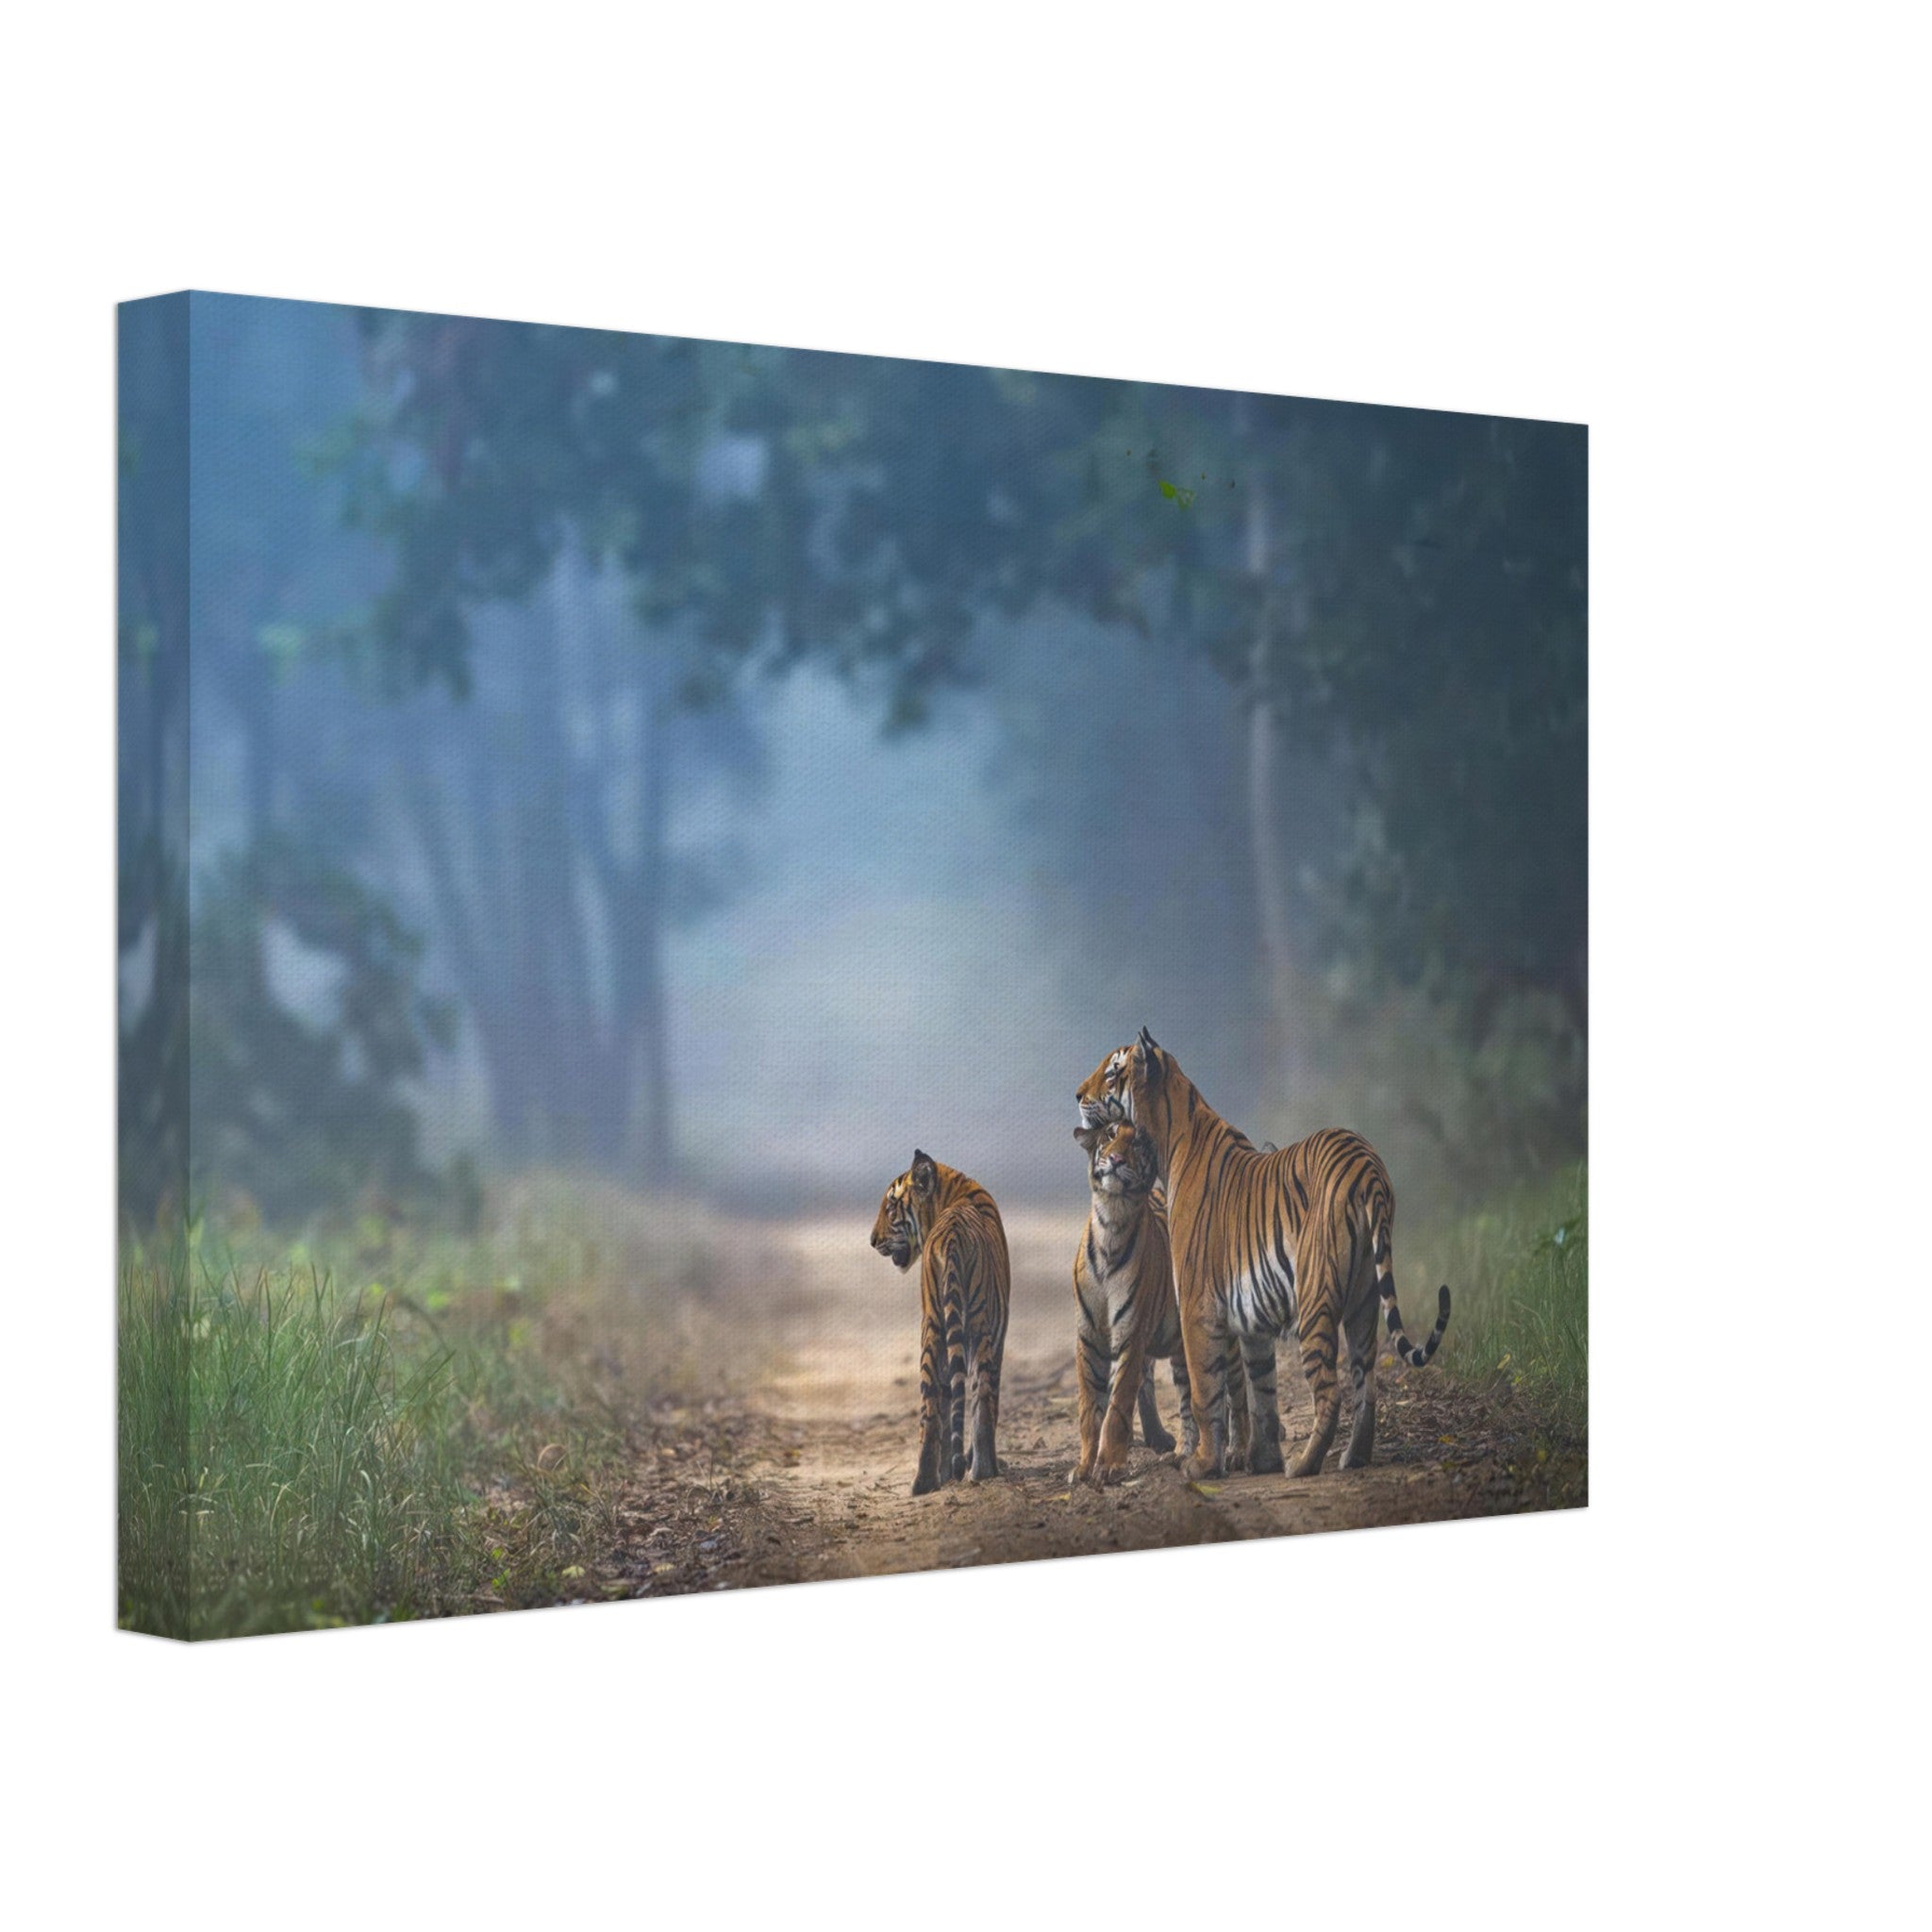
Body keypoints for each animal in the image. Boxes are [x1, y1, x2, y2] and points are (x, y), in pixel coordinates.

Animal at [870, 1149, 1011, 1495]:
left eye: (890, 1208)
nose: (872, 1241)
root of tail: (951, 1235)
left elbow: (949, 1402)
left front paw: (948, 1472)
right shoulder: (998, 1337)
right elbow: (988, 1401)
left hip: (932, 1326)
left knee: (931, 1407)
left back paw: (923, 1482)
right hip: (980, 1325)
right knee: (981, 1398)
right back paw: (984, 1470)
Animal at [1072, 1118, 1250, 1486]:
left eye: (1137, 1143)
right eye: (1110, 1135)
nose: (1116, 1160)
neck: (1112, 1220)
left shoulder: (1130, 1335)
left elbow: (1118, 1404)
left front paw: (1108, 1466)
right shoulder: (1089, 1338)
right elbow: (1089, 1408)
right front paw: (1083, 1467)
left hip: (1222, 1335)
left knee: (1237, 1390)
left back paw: (1237, 1451)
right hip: (1181, 1349)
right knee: (1187, 1399)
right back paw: (1183, 1452)